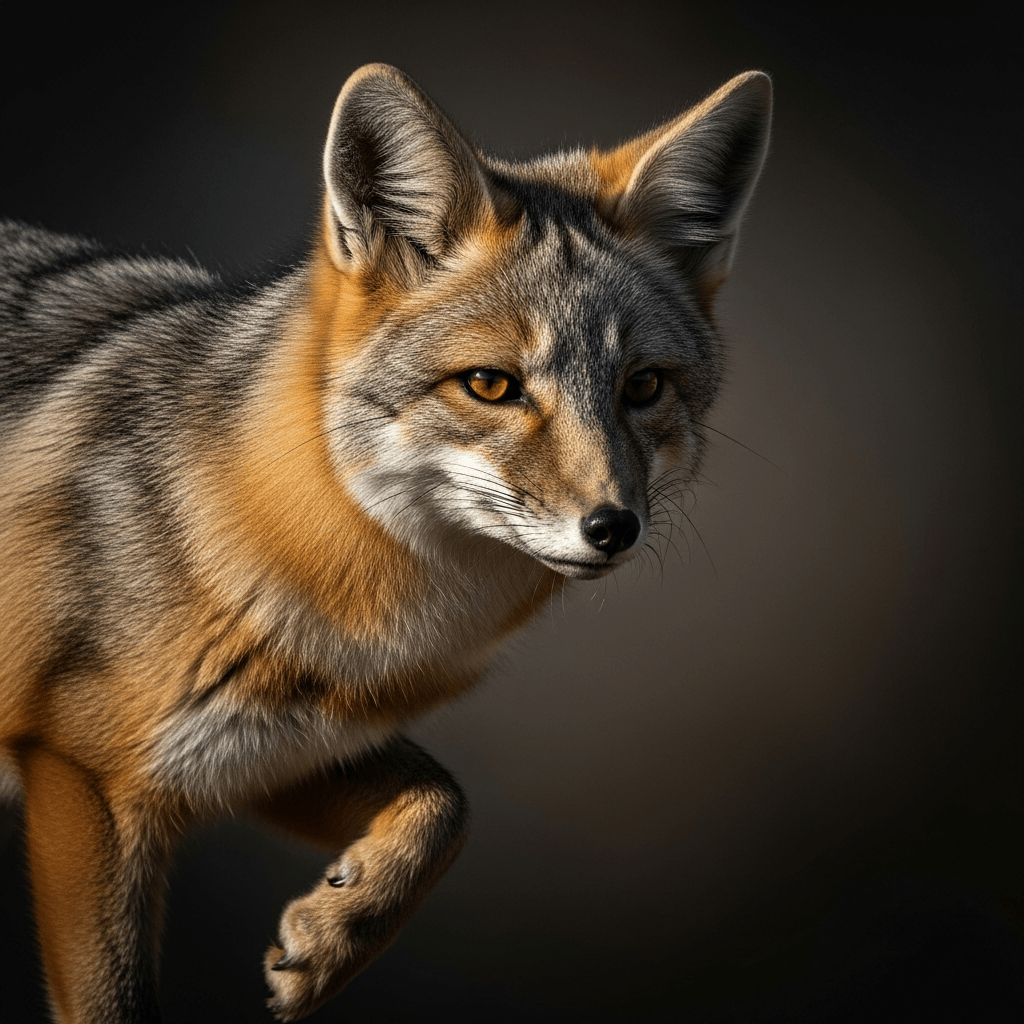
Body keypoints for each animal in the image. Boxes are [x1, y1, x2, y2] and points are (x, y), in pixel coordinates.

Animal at [0, 63, 771, 1022]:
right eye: (491, 385)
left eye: (643, 386)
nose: (612, 526)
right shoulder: (85, 777)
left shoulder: (267, 752)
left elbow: (448, 805)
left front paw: (338, 934)